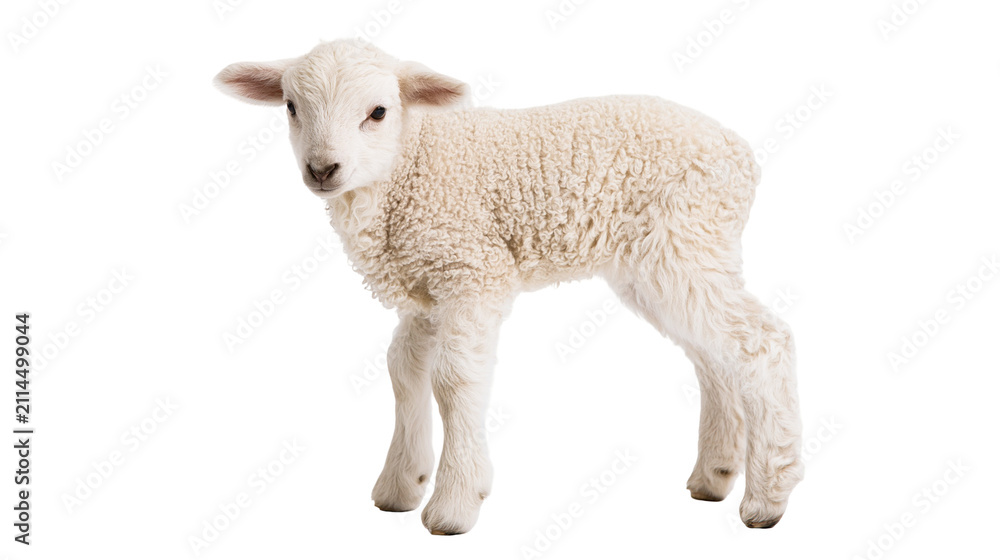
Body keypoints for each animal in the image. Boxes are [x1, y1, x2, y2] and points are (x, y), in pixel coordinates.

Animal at [214, 39, 804, 535]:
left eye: (378, 112)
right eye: (291, 107)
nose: (323, 169)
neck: (409, 163)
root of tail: (741, 154)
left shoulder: (473, 271)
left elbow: (454, 381)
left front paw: (455, 503)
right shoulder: (425, 290)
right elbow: (403, 370)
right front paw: (401, 485)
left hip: (687, 241)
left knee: (760, 342)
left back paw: (767, 498)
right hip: (667, 261)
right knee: (712, 355)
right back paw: (715, 476)